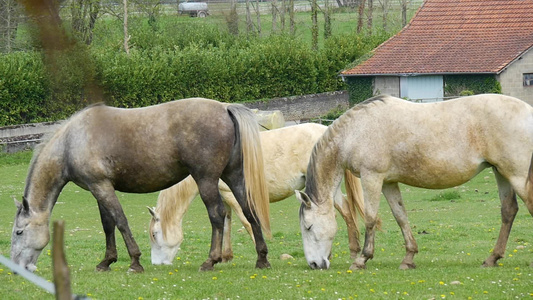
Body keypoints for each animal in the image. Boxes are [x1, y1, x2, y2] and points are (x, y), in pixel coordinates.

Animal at [148, 123, 364, 266]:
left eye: (154, 234)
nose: (156, 264)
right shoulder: (224, 197)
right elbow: (226, 223)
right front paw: (225, 256)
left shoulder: (232, 195)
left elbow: (247, 222)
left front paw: (262, 257)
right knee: (343, 211)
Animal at [296, 95, 532, 270]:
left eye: (308, 226)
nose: (314, 264)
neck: (355, 131)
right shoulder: (388, 182)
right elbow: (401, 216)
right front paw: (408, 258)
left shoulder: (372, 177)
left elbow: (371, 218)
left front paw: (362, 260)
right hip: (501, 172)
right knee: (508, 210)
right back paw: (492, 258)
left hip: (517, 175)